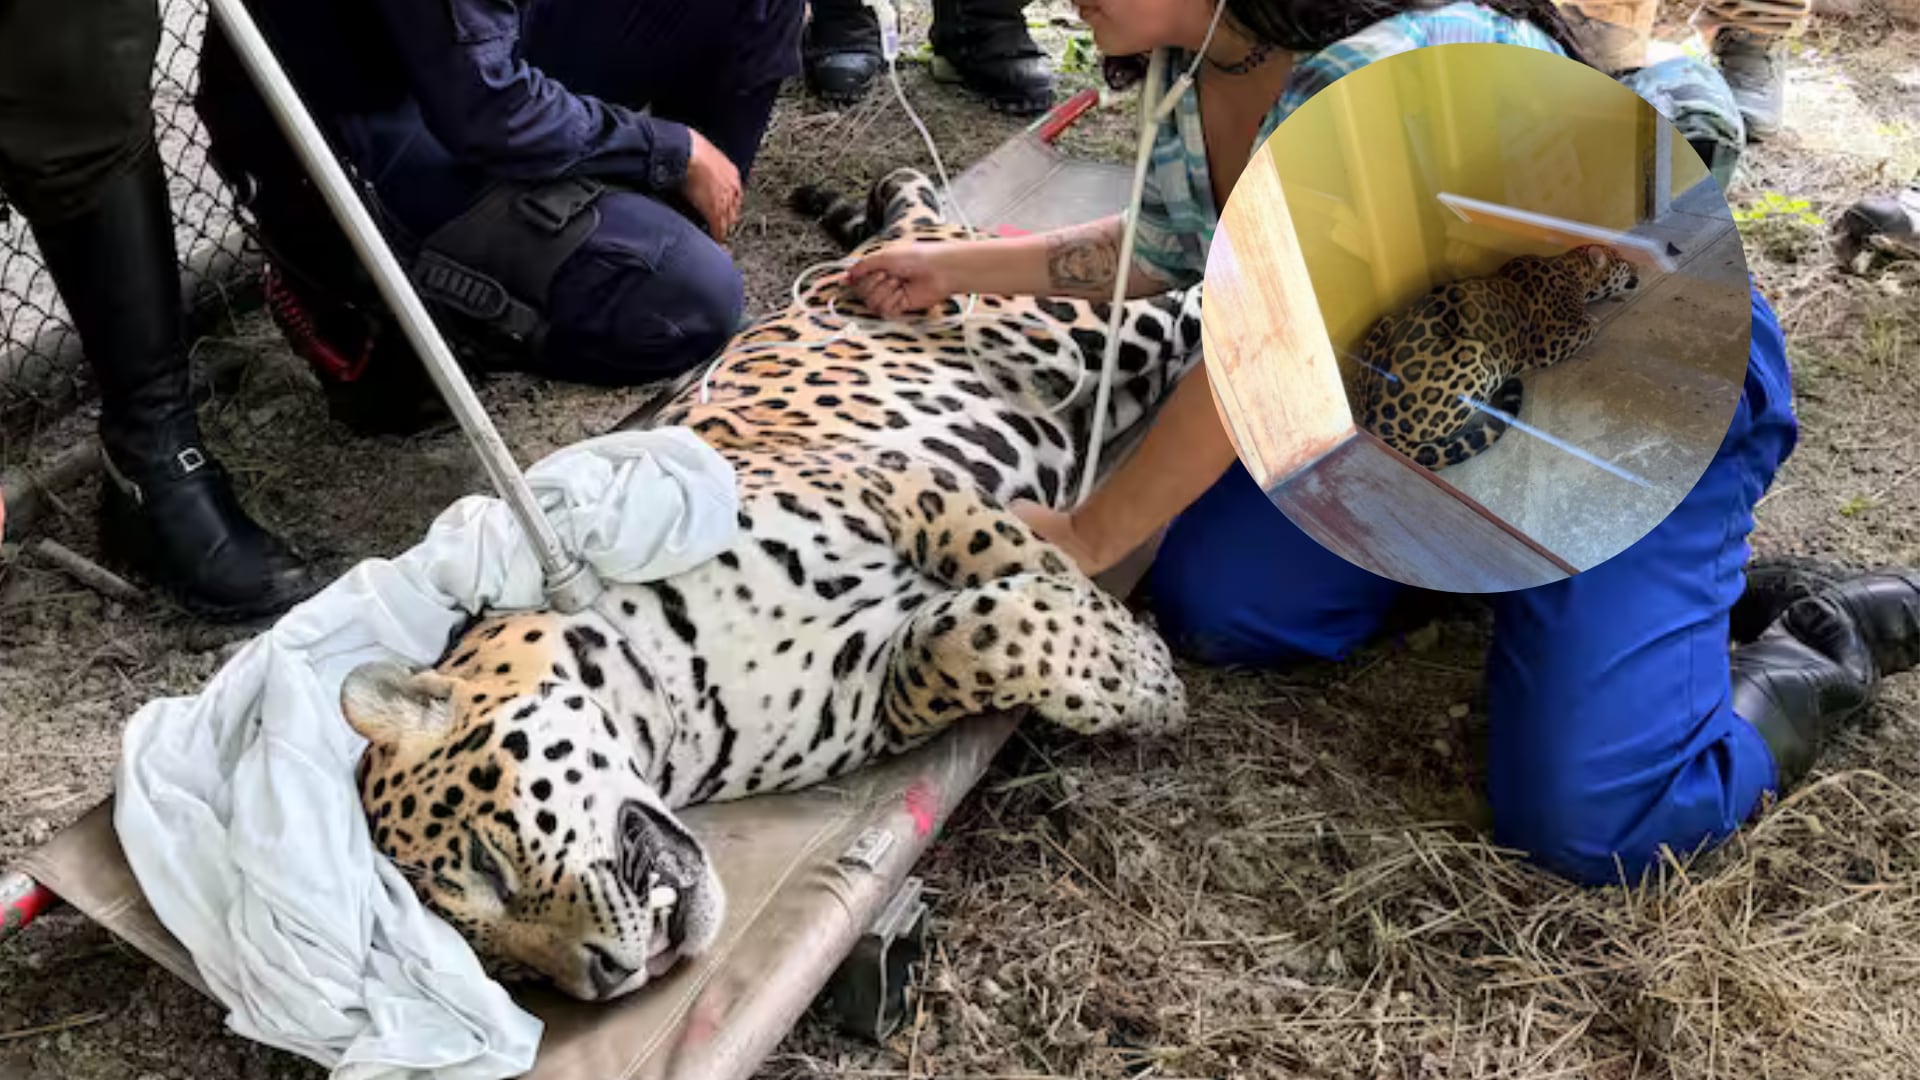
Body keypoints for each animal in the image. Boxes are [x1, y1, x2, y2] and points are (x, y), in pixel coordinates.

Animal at [337, 167, 1206, 1004]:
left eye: (487, 863)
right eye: (507, 974)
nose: (606, 981)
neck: (673, 695)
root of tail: (904, 236)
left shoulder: (898, 487)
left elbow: (1035, 565)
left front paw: (1137, 669)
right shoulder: (876, 688)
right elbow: (966, 639)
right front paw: (1124, 667)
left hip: (1088, 321)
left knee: (1195, 292)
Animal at [1355, 244, 1640, 471]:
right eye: (1624, 261)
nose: (1638, 265)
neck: (1572, 270)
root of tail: (1376, 423)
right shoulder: (1552, 341)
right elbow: (1590, 325)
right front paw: (1595, 317)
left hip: (1384, 322)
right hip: (1473, 353)